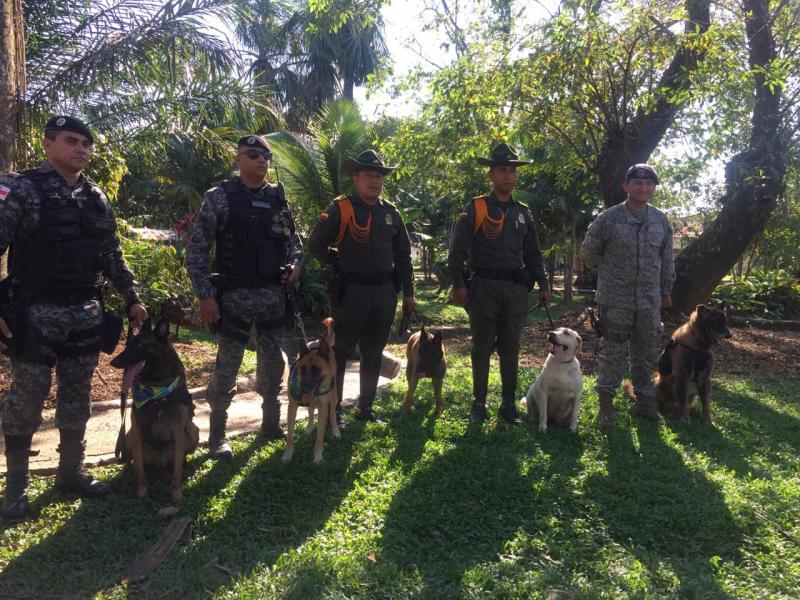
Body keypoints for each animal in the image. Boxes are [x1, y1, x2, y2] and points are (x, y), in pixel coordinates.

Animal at [110, 318, 199, 506]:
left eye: (140, 345)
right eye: (128, 344)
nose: (113, 362)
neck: (157, 390)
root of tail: (159, 462)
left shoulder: (178, 433)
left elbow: (176, 474)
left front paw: (176, 495)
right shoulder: (136, 432)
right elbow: (140, 473)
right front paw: (142, 493)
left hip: (193, 430)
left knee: (180, 458)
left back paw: (186, 463)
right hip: (128, 436)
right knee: (131, 459)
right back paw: (126, 469)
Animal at [282, 318, 340, 464]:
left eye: (316, 370)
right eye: (302, 369)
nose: (305, 389)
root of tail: (318, 341)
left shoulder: (324, 408)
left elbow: (320, 436)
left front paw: (318, 456)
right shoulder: (292, 406)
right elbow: (290, 436)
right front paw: (287, 455)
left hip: (333, 397)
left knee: (332, 413)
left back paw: (336, 431)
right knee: (311, 410)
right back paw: (309, 428)